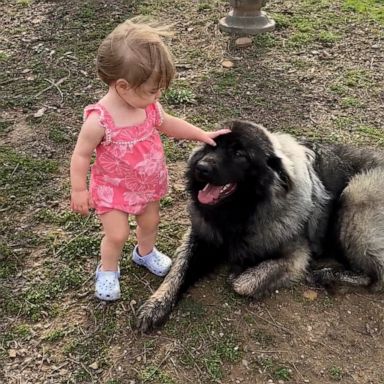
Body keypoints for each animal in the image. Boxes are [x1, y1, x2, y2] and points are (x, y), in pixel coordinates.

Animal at [136, 121, 384, 332]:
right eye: (211, 146)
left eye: (240, 154)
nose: (201, 167)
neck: (242, 211)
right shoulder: (200, 236)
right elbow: (178, 271)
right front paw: (156, 305)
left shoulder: (296, 257)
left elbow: (242, 283)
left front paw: (239, 273)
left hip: (355, 194)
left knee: (376, 277)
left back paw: (327, 275)